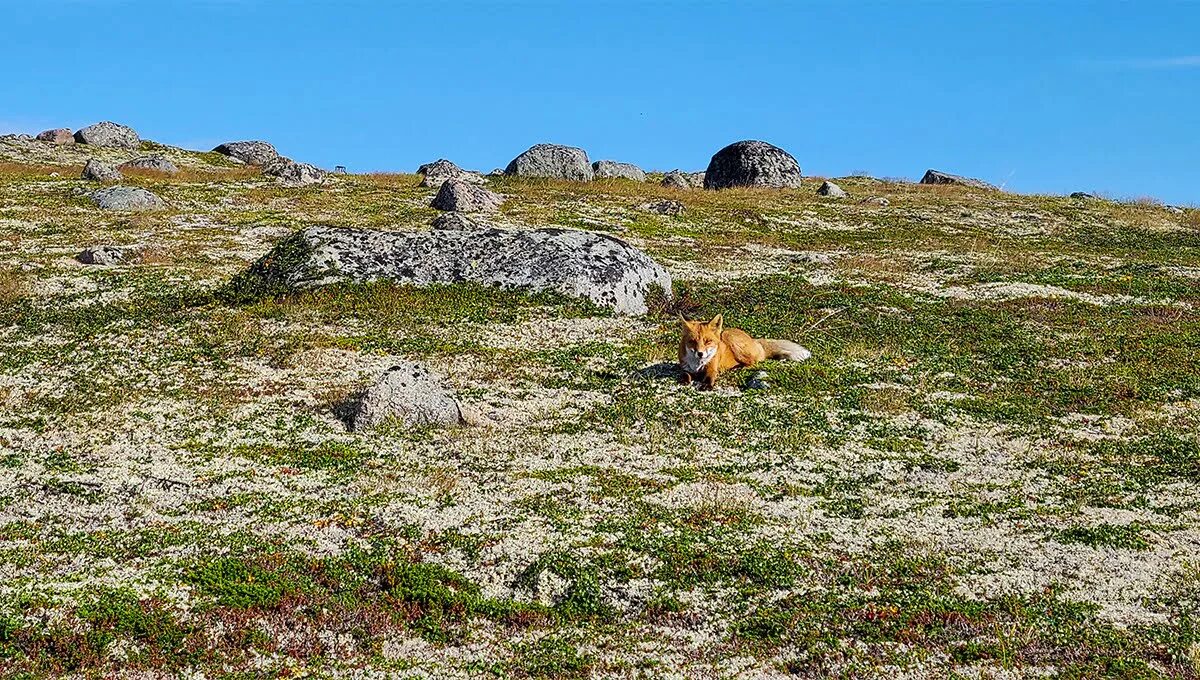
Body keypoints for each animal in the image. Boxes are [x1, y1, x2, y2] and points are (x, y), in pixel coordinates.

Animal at [681, 314, 811, 388]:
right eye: (692, 341)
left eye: (708, 341)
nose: (700, 353)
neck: (698, 365)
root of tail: (754, 340)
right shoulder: (685, 367)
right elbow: (685, 374)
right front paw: (685, 380)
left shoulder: (712, 367)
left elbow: (710, 377)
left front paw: (707, 385)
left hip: (728, 335)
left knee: (754, 362)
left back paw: (738, 368)